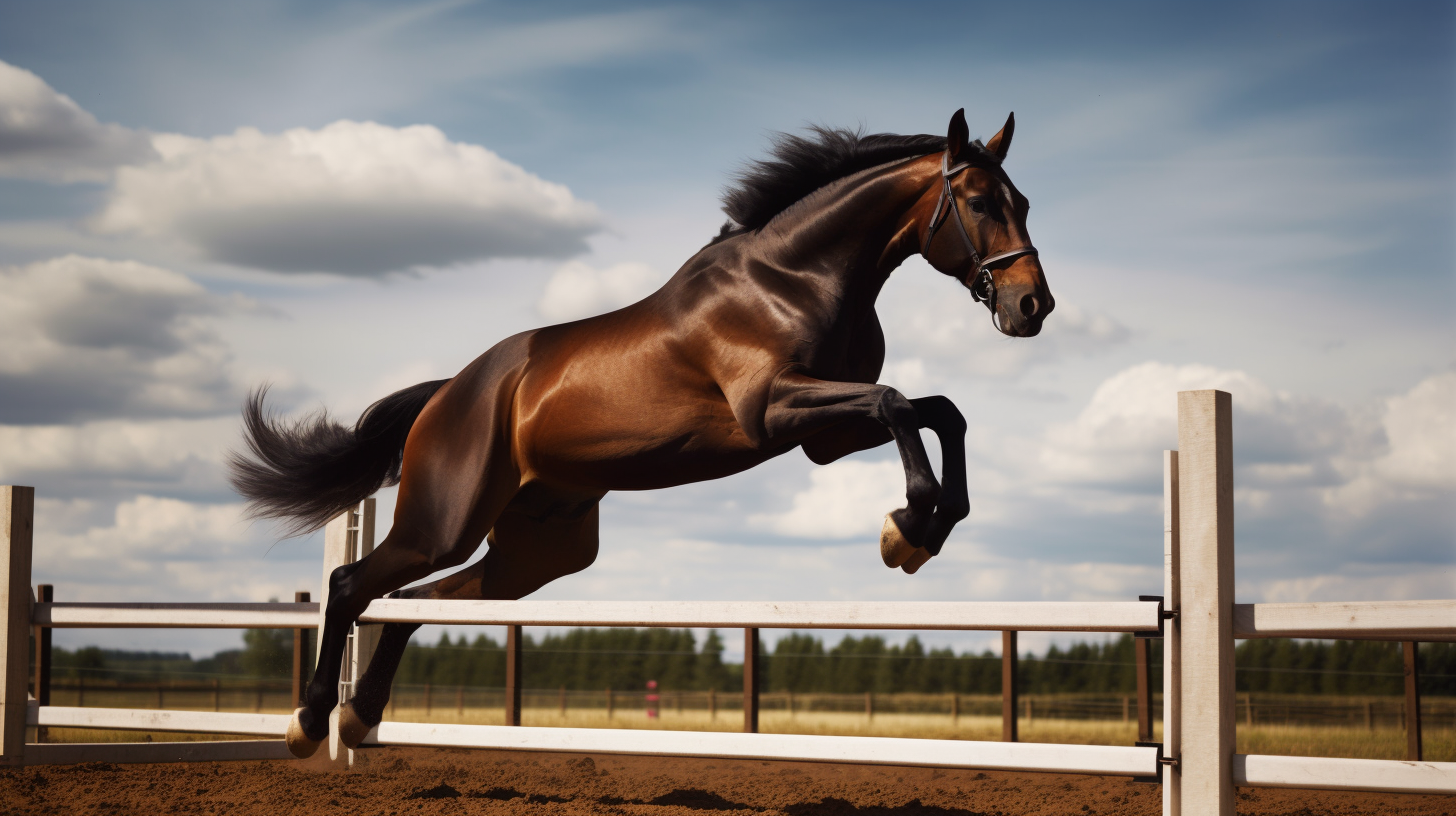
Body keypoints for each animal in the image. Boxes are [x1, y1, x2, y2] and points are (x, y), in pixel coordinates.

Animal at [227, 110, 1054, 757]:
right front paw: (908, 527)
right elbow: (898, 403)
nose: (1032, 307)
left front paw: (930, 525)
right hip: (444, 523)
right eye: (979, 202)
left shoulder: (824, 436)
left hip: (537, 551)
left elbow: (938, 410)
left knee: (418, 601)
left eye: (1023, 201)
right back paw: (310, 724)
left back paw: (360, 717)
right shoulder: (776, 410)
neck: (796, 278)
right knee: (352, 585)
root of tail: (448, 394)